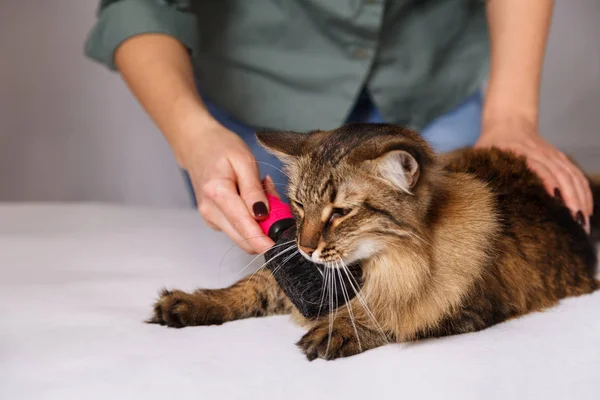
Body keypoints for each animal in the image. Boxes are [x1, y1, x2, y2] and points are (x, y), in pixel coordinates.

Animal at [148, 123, 596, 360]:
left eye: (340, 213)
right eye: (299, 205)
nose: (305, 246)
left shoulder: (467, 309)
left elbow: (393, 315)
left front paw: (343, 329)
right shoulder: (304, 278)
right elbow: (250, 287)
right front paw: (191, 303)